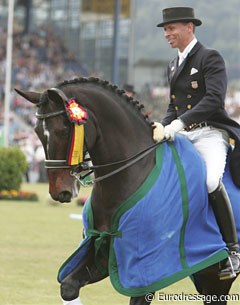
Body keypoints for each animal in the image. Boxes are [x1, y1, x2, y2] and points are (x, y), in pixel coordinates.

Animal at [16, 77, 238, 302]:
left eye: (64, 130)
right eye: (36, 131)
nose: (59, 191)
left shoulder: (146, 269)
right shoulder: (105, 249)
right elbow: (68, 287)